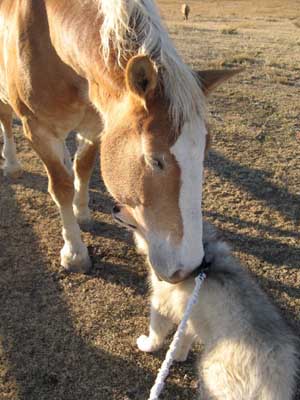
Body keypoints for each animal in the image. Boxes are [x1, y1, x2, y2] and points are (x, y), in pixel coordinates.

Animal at [0, 0, 239, 280]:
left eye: (204, 151)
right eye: (154, 160)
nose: (190, 267)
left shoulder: (97, 125)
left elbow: (83, 167)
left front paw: (82, 213)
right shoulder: (39, 130)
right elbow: (61, 188)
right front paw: (74, 253)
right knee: (6, 121)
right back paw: (12, 165)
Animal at [135, 222, 298, 400]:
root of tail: (272, 379)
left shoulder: (161, 304)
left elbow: (156, 333)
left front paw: (146, 345)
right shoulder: (190, 316)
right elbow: (184, 338)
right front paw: (178, 355)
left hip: (213, 376)